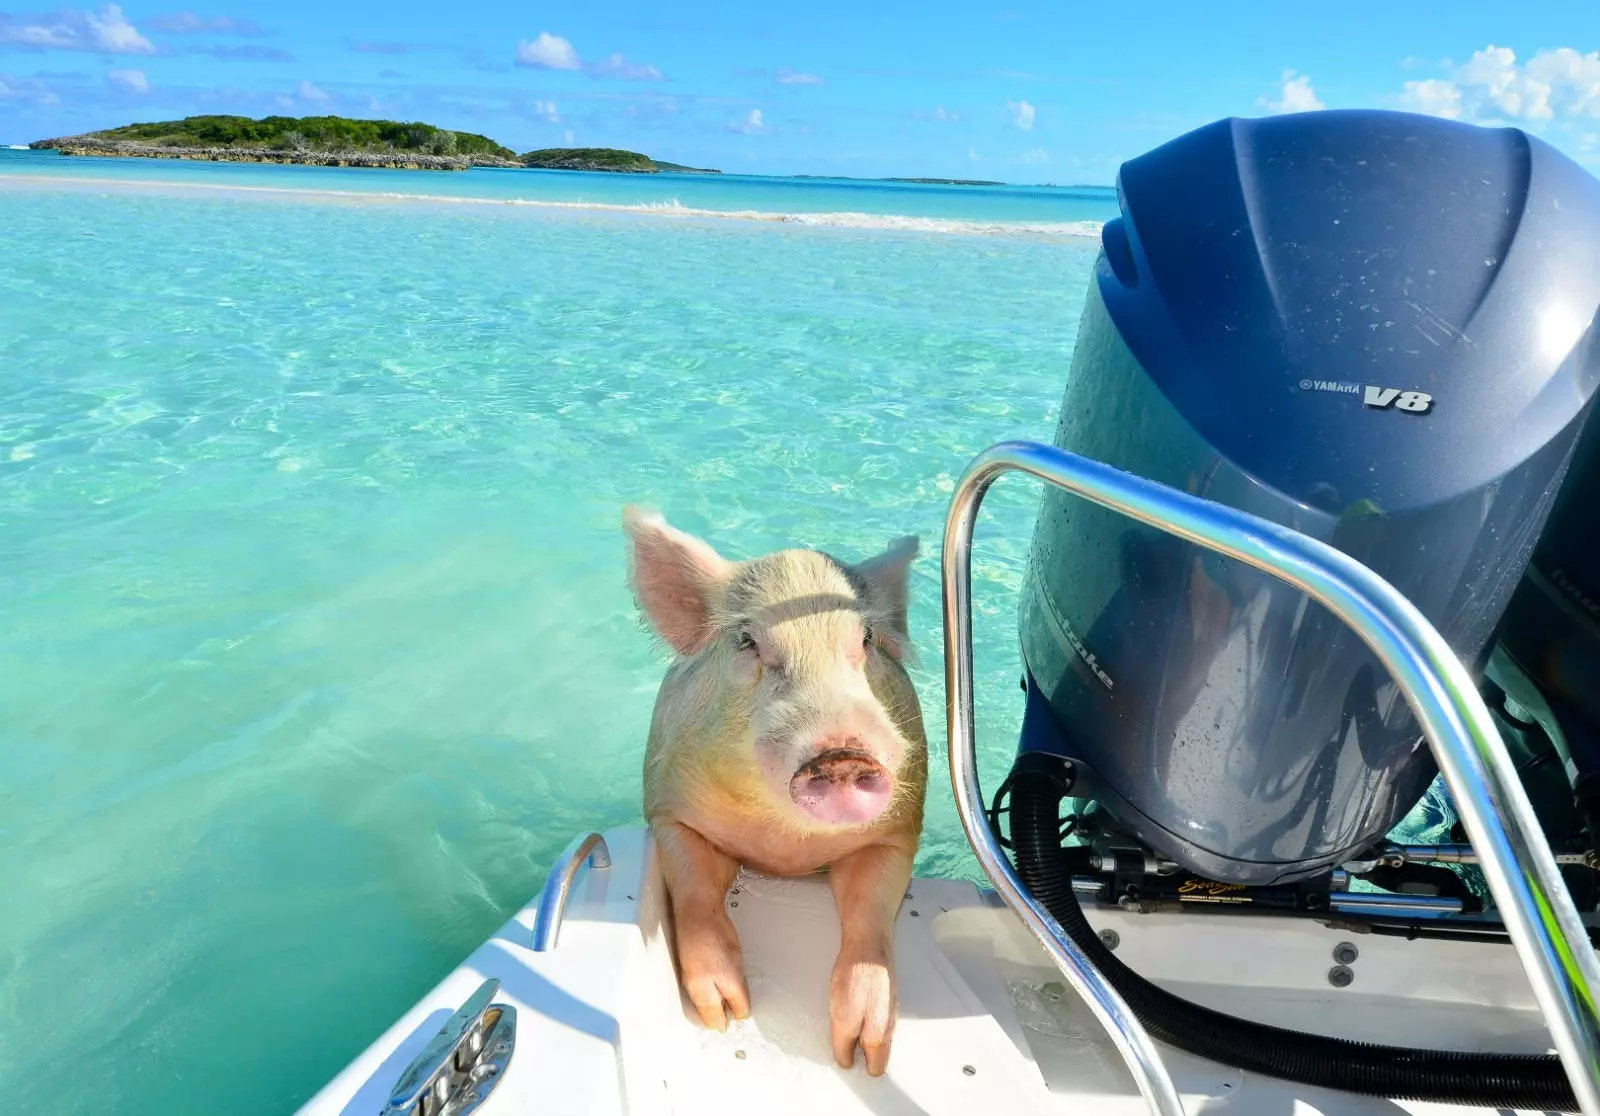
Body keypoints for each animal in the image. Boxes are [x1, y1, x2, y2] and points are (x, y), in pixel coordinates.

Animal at [620, 505, 934, 1068]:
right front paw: (727, 1014)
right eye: (748, 642)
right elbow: (696, 891)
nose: (842, 753)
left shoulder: (897, 833)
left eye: (866, 641)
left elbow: (871, 912)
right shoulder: (669, 810)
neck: (786, 850)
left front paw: (862, 1055)